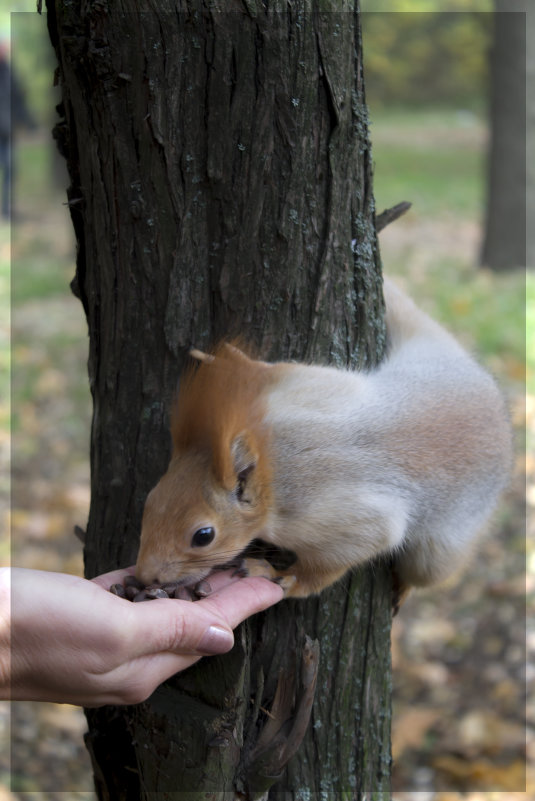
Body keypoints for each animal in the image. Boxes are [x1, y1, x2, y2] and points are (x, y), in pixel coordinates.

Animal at [136, 278, 512, 596]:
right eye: (150, 498)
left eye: (203, 536)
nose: (143, 577)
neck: (277, 460)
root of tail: (497, 407)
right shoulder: (300, 394)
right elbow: (272, 372)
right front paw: (228, 365)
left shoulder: (344, 521)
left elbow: (334, 562)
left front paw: (281, 576)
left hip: (441, 547)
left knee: (427, 570)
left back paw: (402, 588)